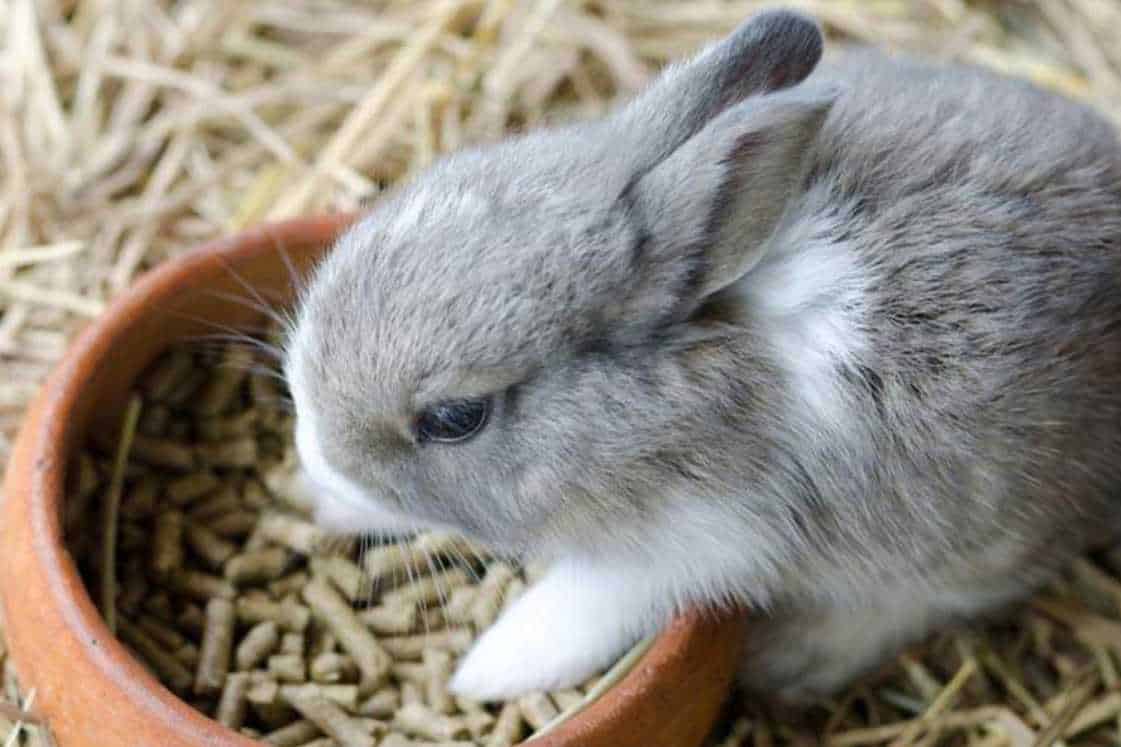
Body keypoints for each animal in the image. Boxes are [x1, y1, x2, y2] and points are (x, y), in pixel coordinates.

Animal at [282, 8, 1121, 699]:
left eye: (456, 417)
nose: (317, 456)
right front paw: (328, 501)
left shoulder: (695, 543)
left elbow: (577, 609)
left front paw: (486, 674)